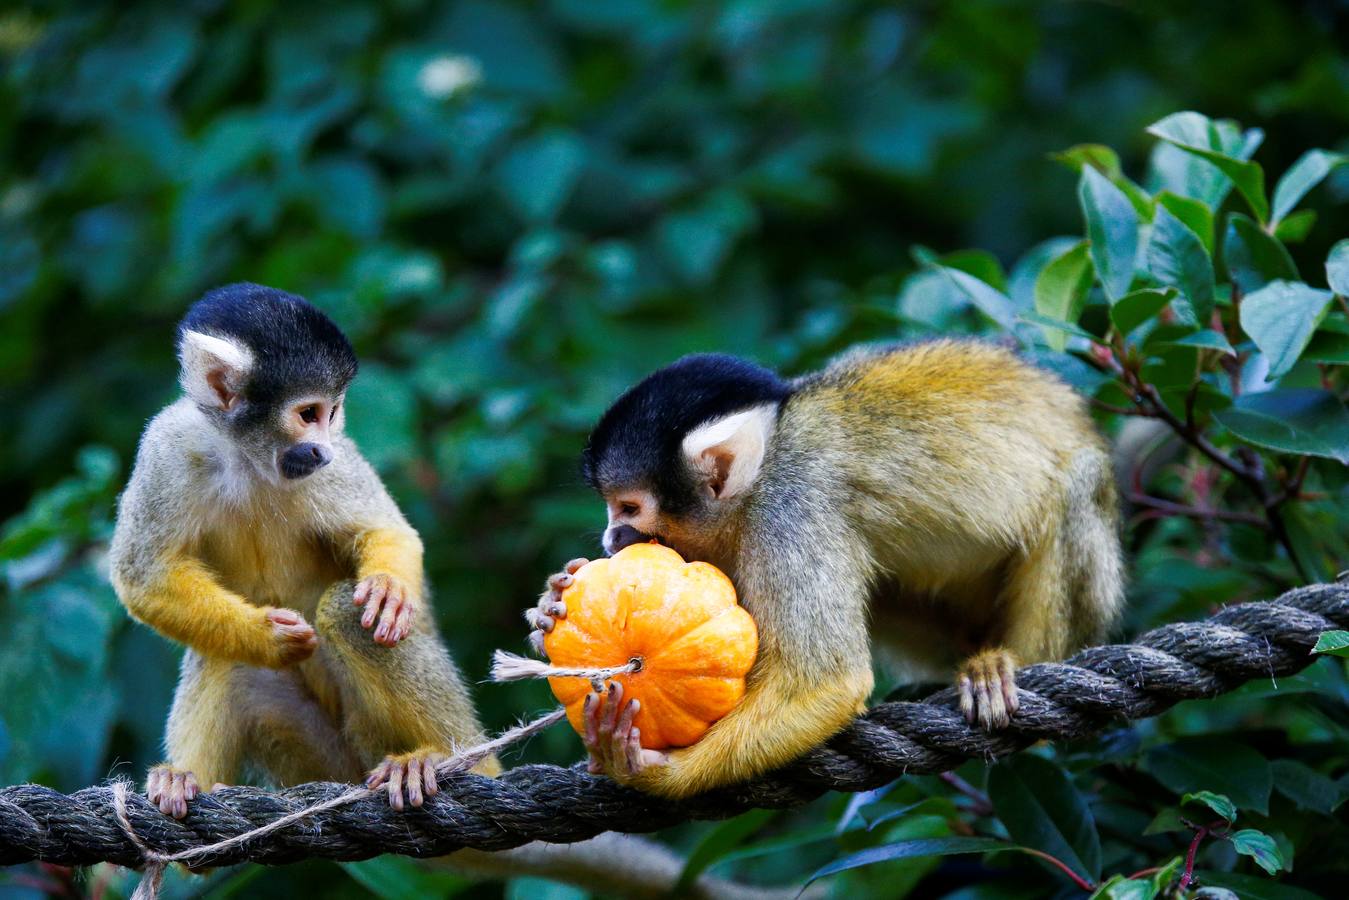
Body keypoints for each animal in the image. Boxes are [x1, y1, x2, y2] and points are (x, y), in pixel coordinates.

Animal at [109, 284, 797, 900]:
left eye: (333, 413)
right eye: (308, 413)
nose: (323, 446)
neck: (250, 457)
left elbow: (388, 536)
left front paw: (387, 591)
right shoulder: (168, 445)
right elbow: (143, 576)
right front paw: (267, 636)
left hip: (367, 738)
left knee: (345, 614)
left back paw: (440, 759)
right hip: (320, 760)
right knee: (227, 655)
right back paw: (187, 784)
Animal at [528, 341, 1124, 799]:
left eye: (628, 509)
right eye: (613, 511)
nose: (610, 539)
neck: (766, 467)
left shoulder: (790, 508)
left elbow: (824, 682)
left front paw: (653, 773)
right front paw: (551, 602)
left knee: (1077, 485)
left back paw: (1011, 664)